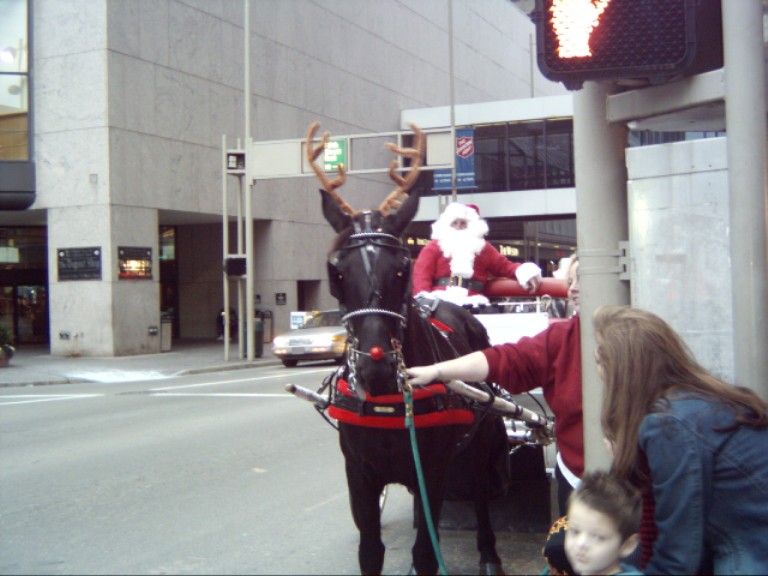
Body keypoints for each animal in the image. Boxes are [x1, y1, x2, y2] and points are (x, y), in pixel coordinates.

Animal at [304, 122, 510, 576]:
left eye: (402, 268)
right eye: (335, 272)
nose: (376, 368)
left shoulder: (432, 470)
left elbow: (425, 552)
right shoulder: (360, 474)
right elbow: (371, 552)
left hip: (483, 438)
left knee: (482, 495)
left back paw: (489, 553)